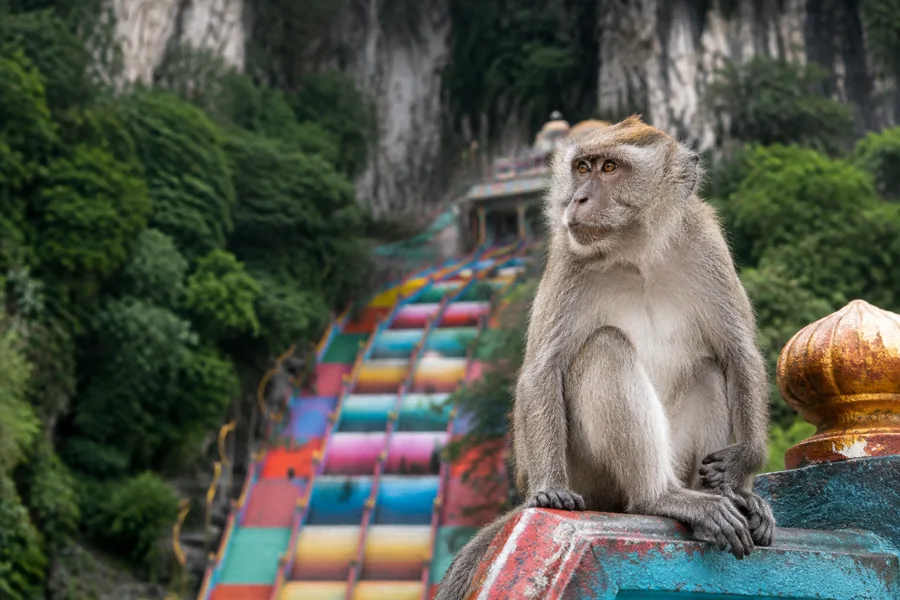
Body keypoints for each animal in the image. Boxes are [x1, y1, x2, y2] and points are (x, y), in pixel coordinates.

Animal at [435, 116, 775, 600]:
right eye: (582, 167)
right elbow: (543, 369)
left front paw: (744, 469)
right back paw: (660, 498)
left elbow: (738, 353)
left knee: (709, 370)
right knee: (606, 347)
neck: (638, 256)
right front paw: (549, 490)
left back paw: (721, 500)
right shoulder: (568, 257)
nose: (578, 198)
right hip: (589, 474)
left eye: (610, 168)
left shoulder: (706, 245)